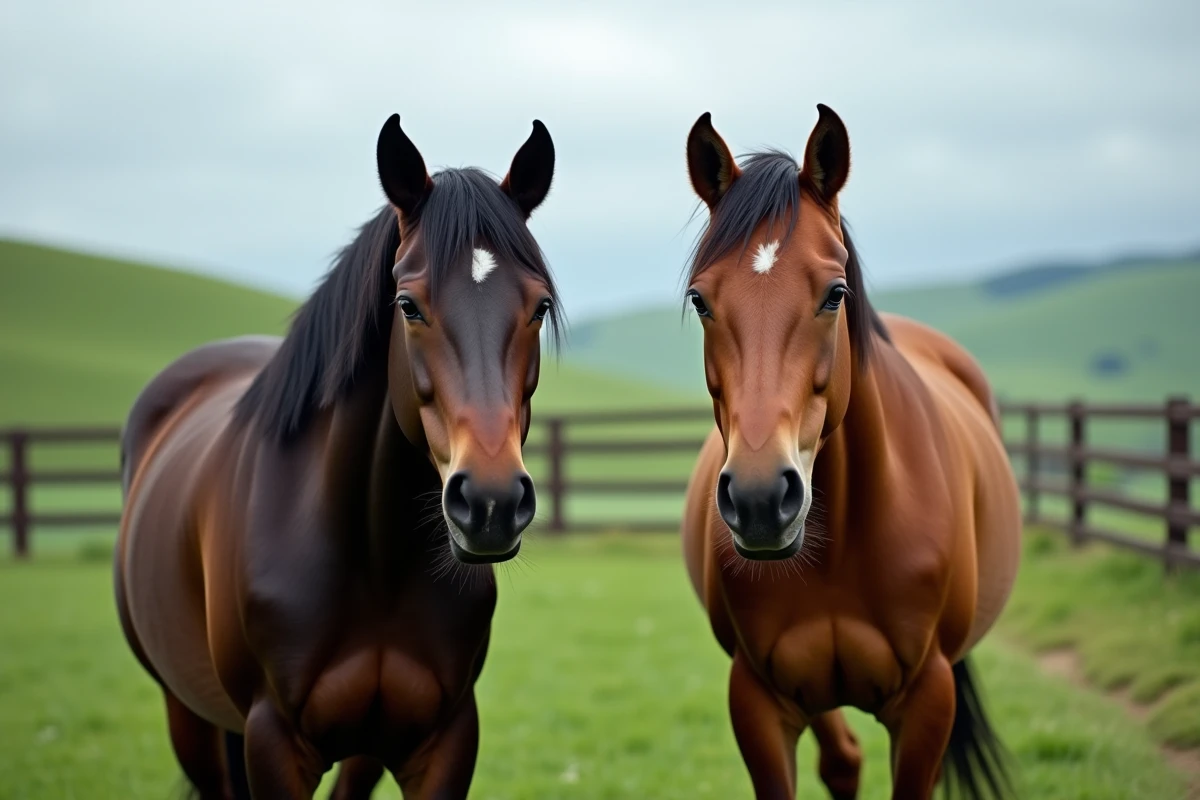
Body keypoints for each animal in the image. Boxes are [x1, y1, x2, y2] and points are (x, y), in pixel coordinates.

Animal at [114, 114, 561, 799]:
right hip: (187, 713)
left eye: (538, 306)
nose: (491, 502)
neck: (372, 558)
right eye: (408, 305)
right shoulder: (272, 742)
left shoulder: (444, 741)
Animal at [679, 105, 1022, 800]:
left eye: (834, 292)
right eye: (701, 300)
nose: (760, 498)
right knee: (842, 759)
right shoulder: (757, 702)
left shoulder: (928, 702)